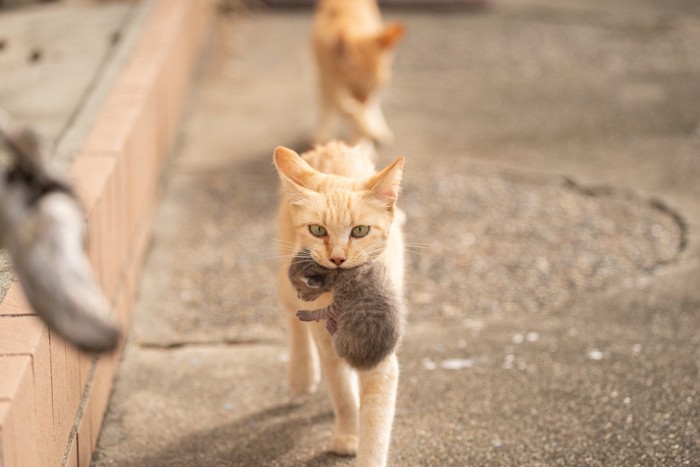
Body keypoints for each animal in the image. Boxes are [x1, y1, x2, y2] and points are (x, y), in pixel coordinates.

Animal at [274, 143, 404, 467]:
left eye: (360, 231)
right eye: (318, 230)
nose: (337, 257)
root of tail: (332, 146)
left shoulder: (381, 351)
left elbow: (375, 421)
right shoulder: (327, 344)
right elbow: (343, 393)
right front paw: (347, 434)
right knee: (293, 316)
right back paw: (302, 373)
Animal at [312, 0, 404, 145]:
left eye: (376, 87)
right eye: (354, 86)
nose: (363, 102)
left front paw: (367, 129)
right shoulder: (329, 81)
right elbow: (340, 107)